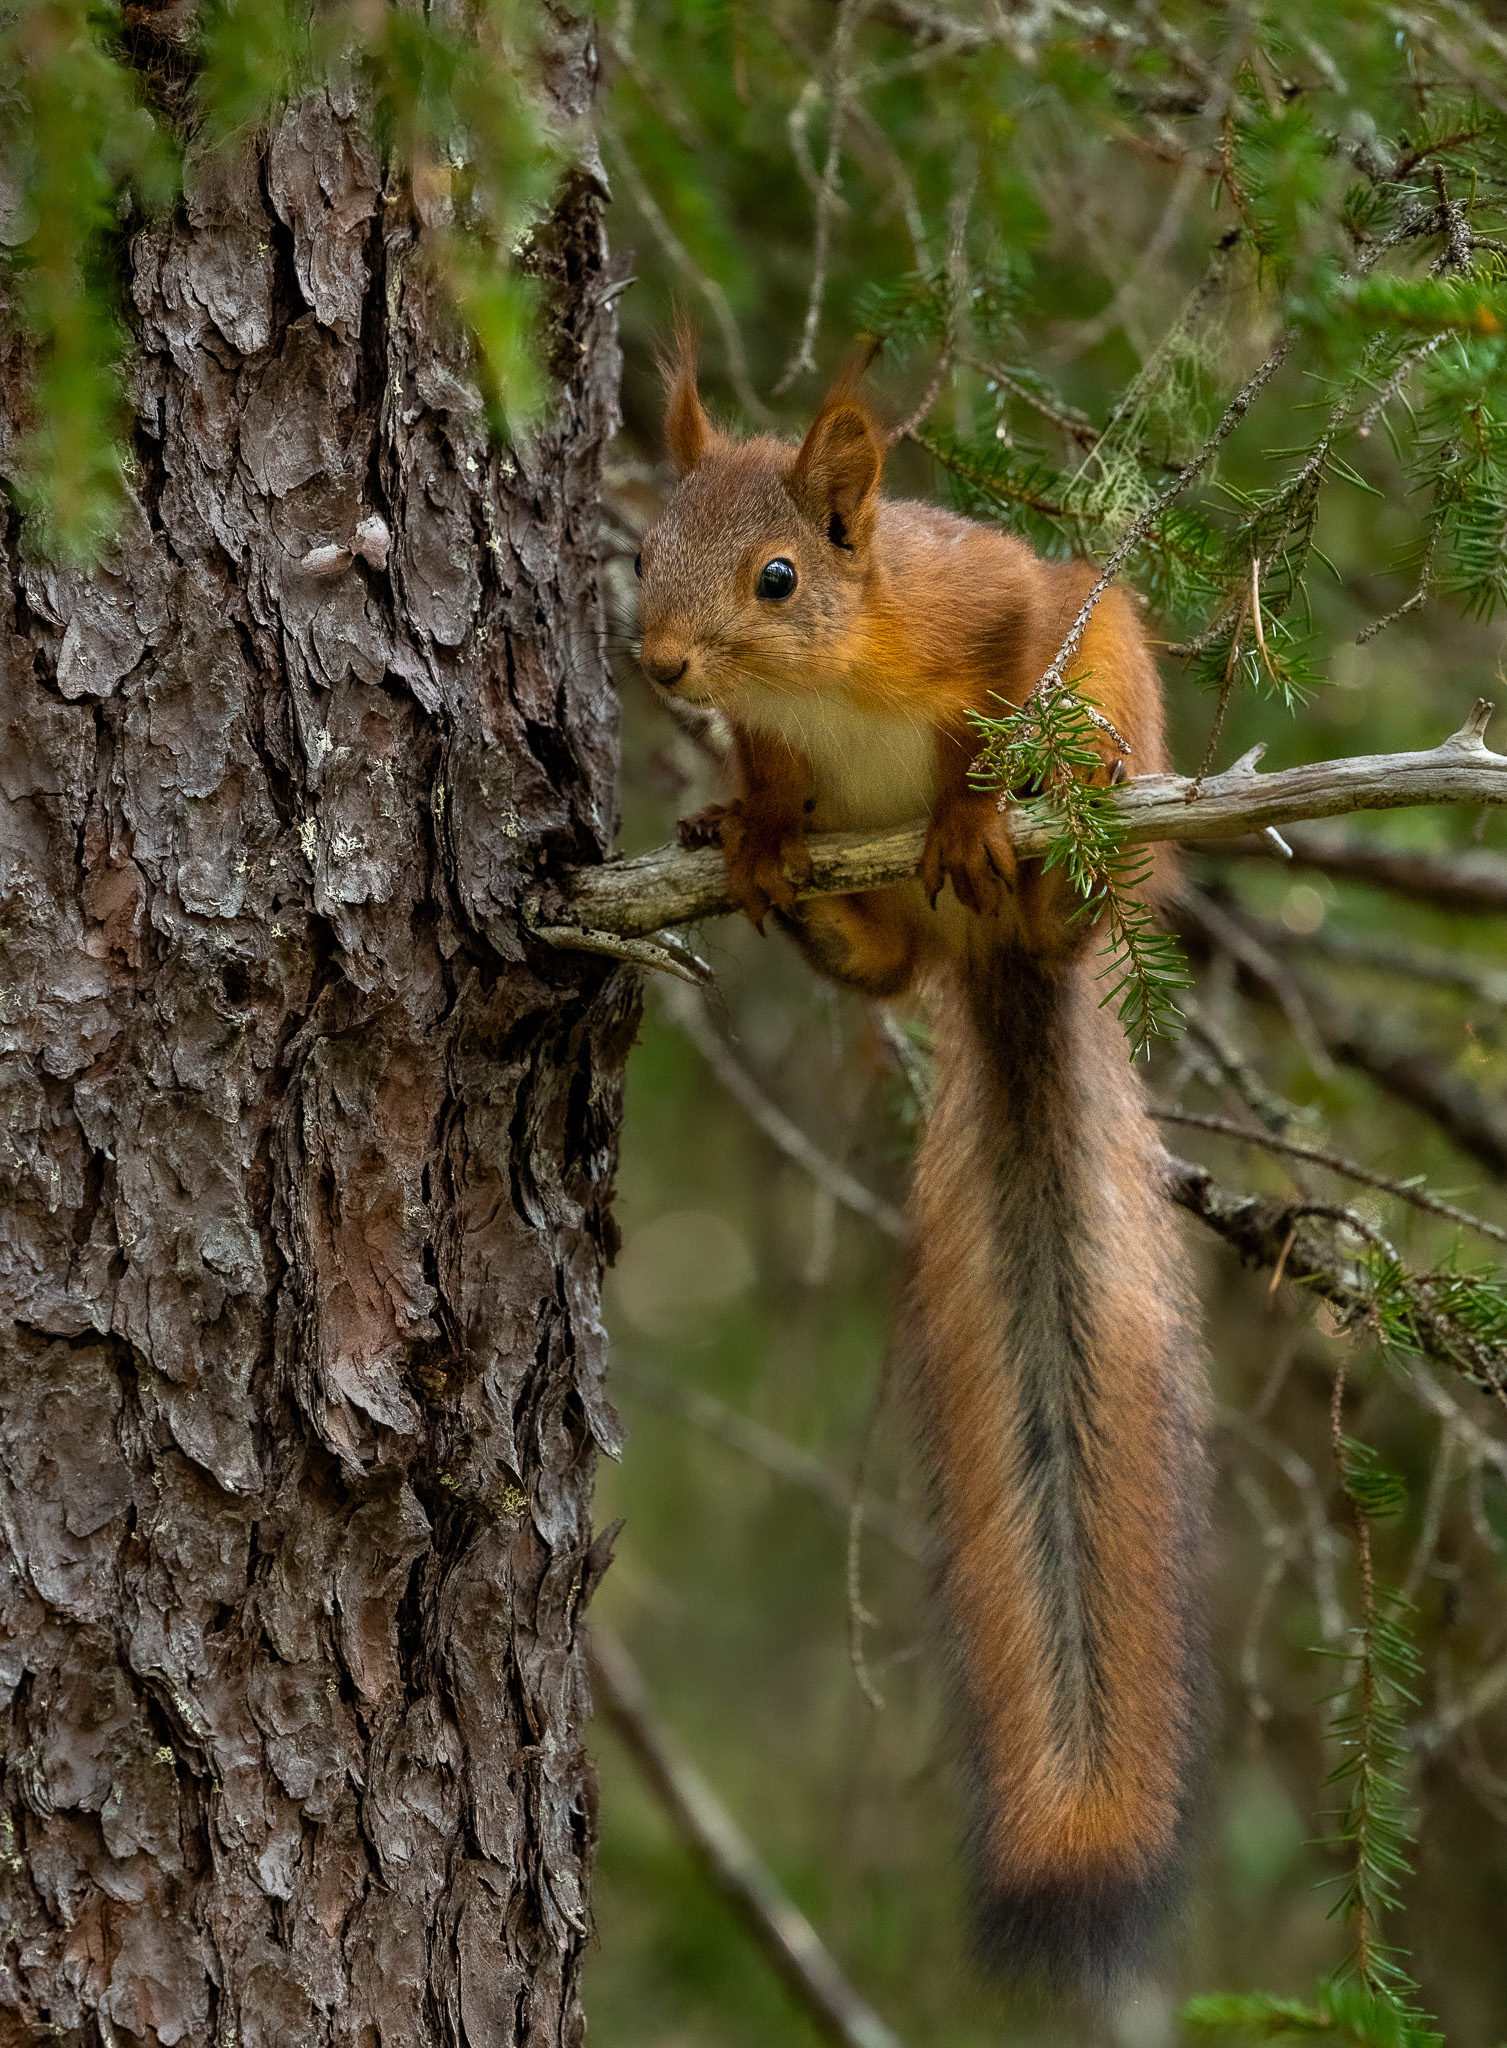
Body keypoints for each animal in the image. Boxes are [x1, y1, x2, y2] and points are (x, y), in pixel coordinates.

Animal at [634, 344, 1212, 1990]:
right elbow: (775, 784)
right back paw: (814, 908)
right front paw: (752, 825)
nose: (660, 668)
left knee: (1080, 840)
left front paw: (962, 802)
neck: (818, 680)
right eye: (643, 547)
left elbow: (994, 695)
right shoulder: (778, 740)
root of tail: (1003, 959)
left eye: (776, 576)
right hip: (896, 929)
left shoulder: (989, 606)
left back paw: (1041, 852)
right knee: (887, 973)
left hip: (1114, 725)